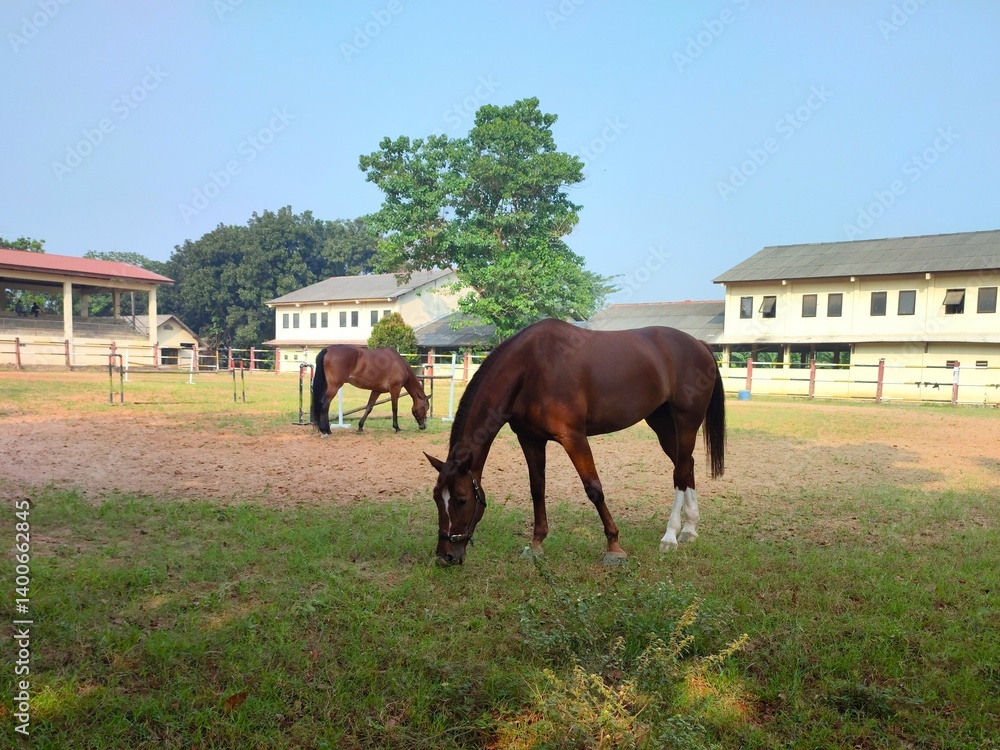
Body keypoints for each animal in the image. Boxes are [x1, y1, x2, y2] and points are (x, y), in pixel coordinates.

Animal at [424, 318, 725, 565]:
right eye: (437, 498)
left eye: (462, 500)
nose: (445, 556)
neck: (531, 368)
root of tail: (699, 345)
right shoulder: (530, 439)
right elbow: (537, 489)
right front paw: (536, 544)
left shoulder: (574, 438)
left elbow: (594, 489)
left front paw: (614, 546)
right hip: (661, 423)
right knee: (686, 465)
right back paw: (689, 530)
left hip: (686, 422)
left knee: (680, 472)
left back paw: (670, 536)